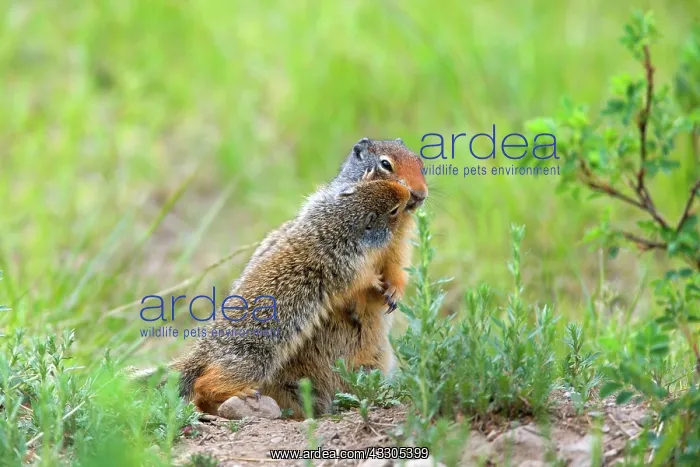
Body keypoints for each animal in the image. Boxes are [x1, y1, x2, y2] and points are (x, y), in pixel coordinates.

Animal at [170, 177, 412, 416]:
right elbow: (361, 279)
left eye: (375, 183)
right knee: (205, 384)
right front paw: (378, 281)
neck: (336, 223)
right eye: (393, 210)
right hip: (253, 359)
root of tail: (205, 349)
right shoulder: (348, 264)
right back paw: (241, 392)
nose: (407, 192)